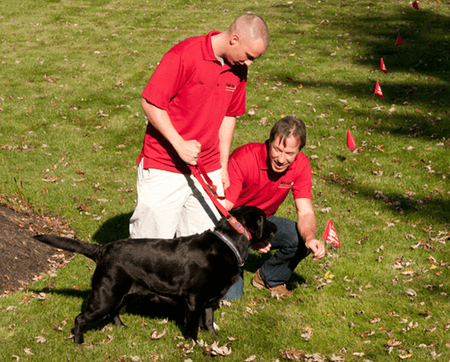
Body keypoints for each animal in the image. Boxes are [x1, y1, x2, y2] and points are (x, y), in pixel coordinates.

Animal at [33, 205, 276, 344]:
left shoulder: (210, 300)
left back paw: (122, 329)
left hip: (123, 294)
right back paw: (79, 343)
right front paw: (193, 347)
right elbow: (193, 329)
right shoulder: (194, 300)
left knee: (114, 313)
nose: (275, 228)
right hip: (106, 294)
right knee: (81, 318)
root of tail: (102, 250)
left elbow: (208, 323)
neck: (228, 243)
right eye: (265, 218)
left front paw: (213, 342)